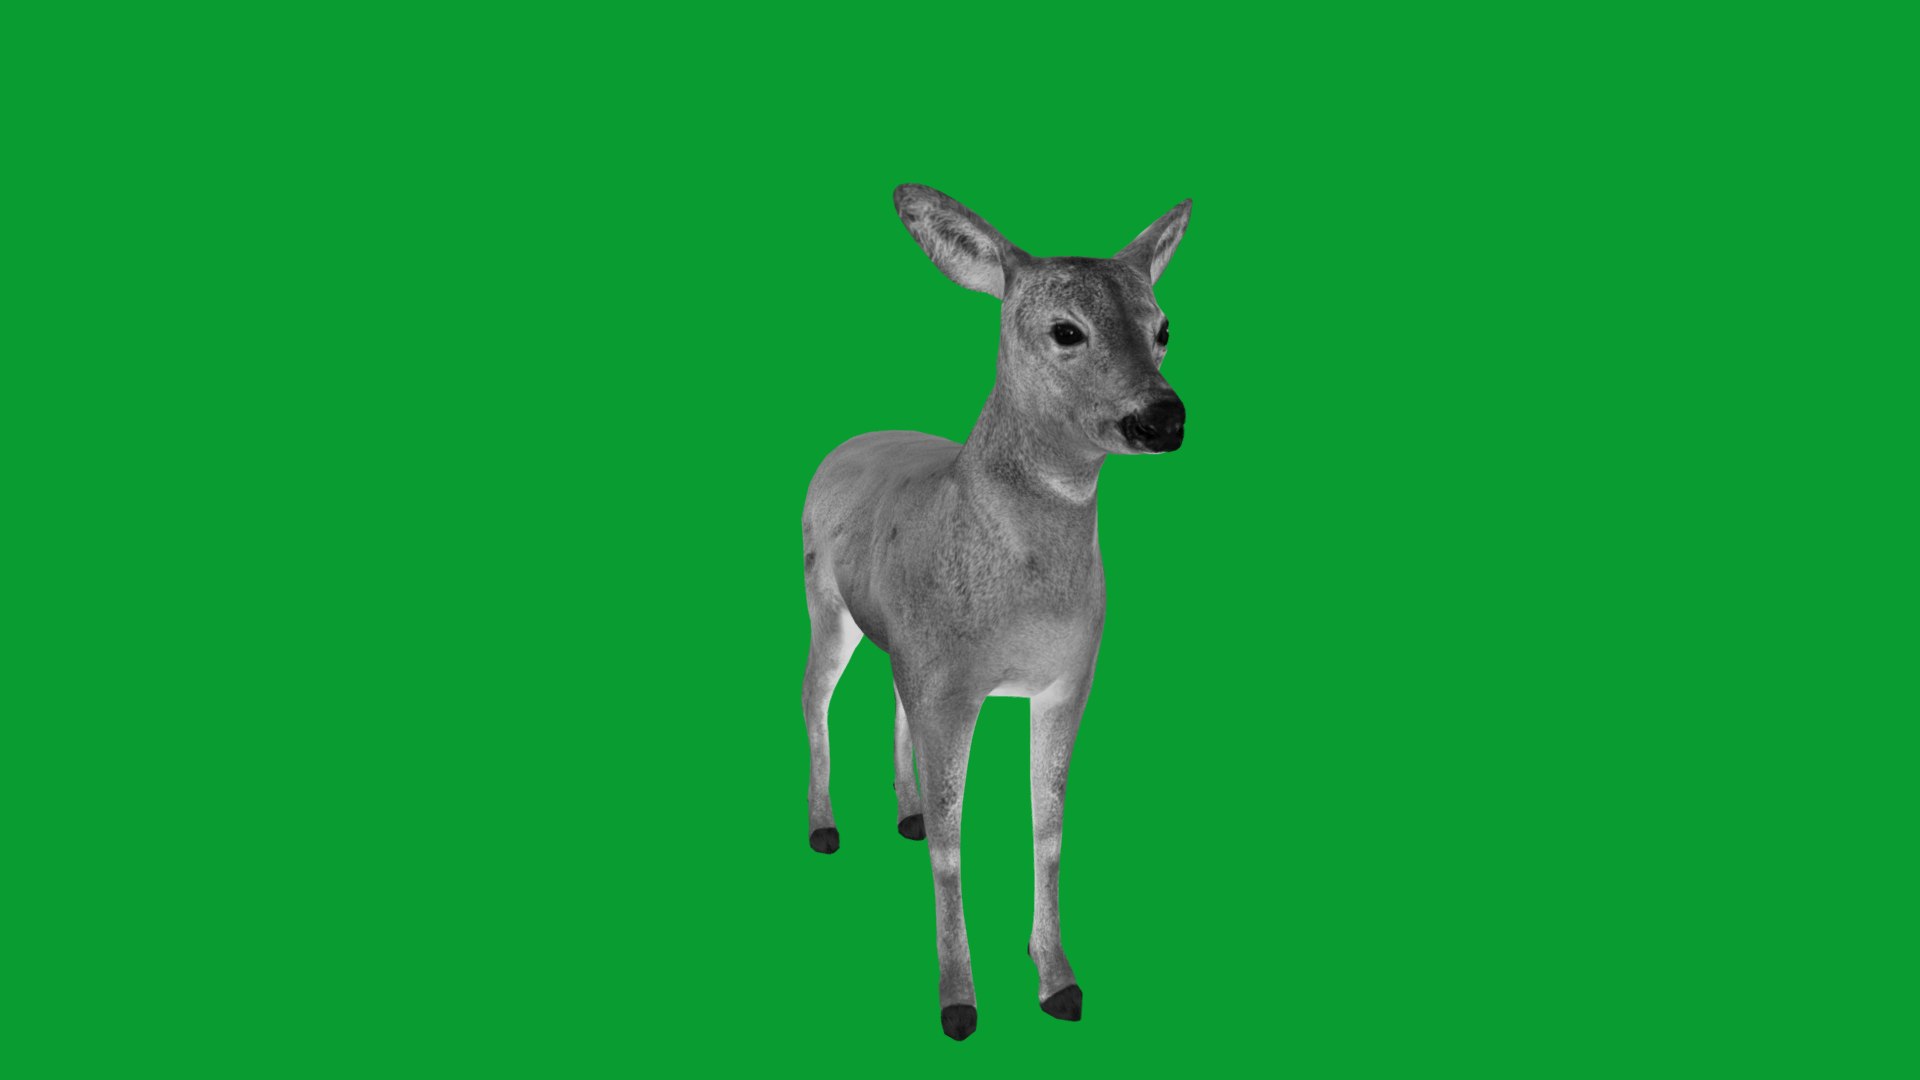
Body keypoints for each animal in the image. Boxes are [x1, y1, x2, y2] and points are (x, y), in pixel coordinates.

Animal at [800, 184, 1192, 1040]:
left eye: (1163, 328)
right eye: (1065, 330)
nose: (1163, 418)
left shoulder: (1067, 681)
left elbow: (1048, 829)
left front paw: (1059, 981)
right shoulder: (951, 685)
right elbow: (953, 845)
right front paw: (958, 1002)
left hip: (901, 642)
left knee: (889, 702)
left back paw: (904, 811)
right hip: (822, 600)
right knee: (813, 697)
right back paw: (823, 827)